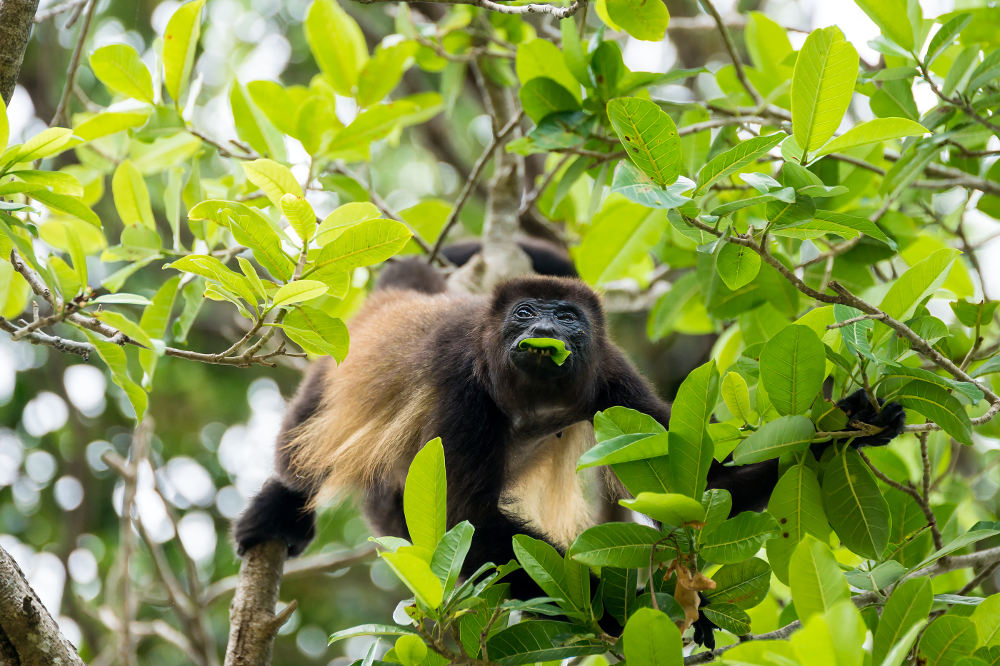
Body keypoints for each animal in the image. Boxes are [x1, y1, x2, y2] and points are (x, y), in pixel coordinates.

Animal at [234, 254, 908, 600]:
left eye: (567, 317)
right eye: (525, 313)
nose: (544, 331)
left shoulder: (614, 381)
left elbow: (704, 488)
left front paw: (854, 422)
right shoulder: (463, 384)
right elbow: (467, 519)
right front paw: (615, 613)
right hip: (329, 367)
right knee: (303, 446)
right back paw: (282, 506)